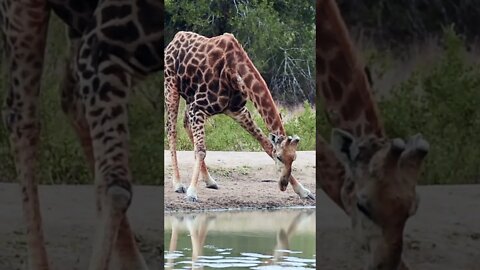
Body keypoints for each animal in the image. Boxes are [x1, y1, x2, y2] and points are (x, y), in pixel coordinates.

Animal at [165, 30, 316, 201]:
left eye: (294, 158)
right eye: (279, 157)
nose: (283, 186)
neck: (234, 70)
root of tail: (175, 38)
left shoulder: (237, 111)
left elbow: (266, 144)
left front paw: (303, 191)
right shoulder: (199, 108)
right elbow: (201, 150)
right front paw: (191, 192)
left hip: (190, 99)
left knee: (185, 125)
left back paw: (209, 180)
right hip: (171, 86)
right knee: (172, 130)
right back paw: (178, 184)